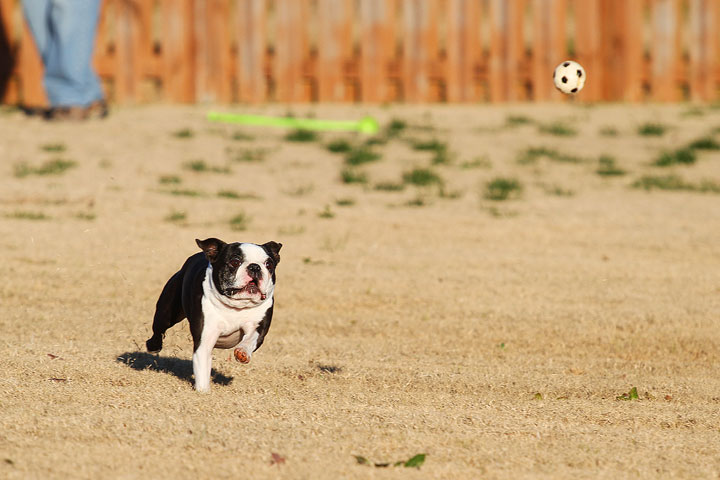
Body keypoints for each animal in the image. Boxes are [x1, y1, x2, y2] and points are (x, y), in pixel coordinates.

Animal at [146, 238, 282, 392]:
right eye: (235, 261)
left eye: (269, 264)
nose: (255, 267)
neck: (236, 306)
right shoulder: (204, 340)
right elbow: (202, 367)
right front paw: (203, 391)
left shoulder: (259, 327)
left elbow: (251, 339)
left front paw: (242, 352)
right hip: (167, 312)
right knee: (159, 329)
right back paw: (153, 346)